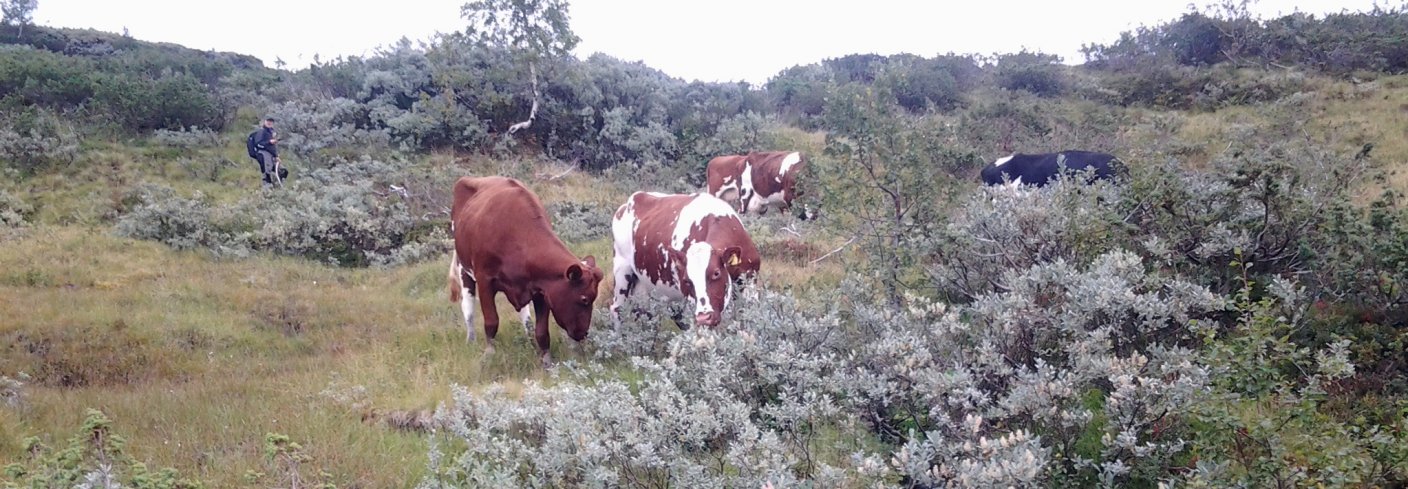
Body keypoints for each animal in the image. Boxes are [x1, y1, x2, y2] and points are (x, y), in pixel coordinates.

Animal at [444, 178, 605, 366]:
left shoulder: (542, 289)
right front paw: (489, 353)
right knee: (468, 307)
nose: (583, 333)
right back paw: (471, 339)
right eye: (584, 299)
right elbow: (491, 320)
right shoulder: (485, 280)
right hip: (464, 268)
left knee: (525, 316)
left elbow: (542, 331)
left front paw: (546, 361)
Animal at [605, 191, 760, 329]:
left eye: (716, 273)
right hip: (622, 270)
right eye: (687, 280)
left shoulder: (750, 283)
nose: (704, 317)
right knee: (617, 308)